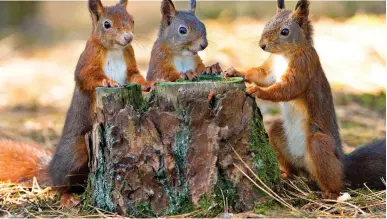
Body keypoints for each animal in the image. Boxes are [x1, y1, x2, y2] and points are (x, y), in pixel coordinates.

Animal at [0, 0, 153, 207]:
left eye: (132, 20)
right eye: (106, 24)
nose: (128, 37)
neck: (114, 49)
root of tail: (51, 168)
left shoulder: (129, 60)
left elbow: (135, 76)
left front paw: (147, 84)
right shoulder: (87, 60)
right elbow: (87, 77)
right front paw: (109, 82)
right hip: (75, 154)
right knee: (59, 185)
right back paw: (67, 197)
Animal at [226, 0, 386, 199]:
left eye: (285, 31)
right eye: (267, 23)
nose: (262, 45)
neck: (285, 55)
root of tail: (343, 162)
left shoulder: (304, 65)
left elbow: (288, 88)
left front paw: (258, 91)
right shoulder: (271, 69)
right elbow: (260, 74)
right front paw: (235, 71)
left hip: (319, 145)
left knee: (335, 180)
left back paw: (330, 195)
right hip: (279, 135)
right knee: (289, 157)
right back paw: (286, 175)